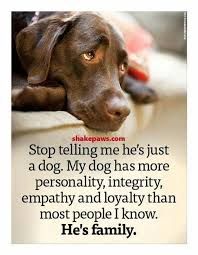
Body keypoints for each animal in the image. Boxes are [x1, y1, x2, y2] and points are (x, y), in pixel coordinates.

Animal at [12, 11, 158, 131]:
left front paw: (141, 87)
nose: (121, 112)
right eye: (89, 55)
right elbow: (61, 92)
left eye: (123, 66)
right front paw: (23, 96)